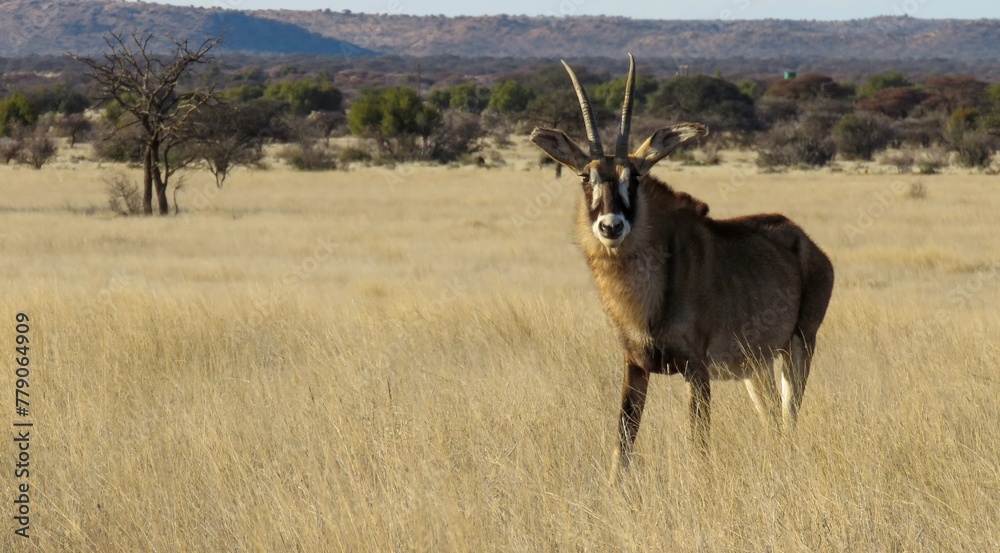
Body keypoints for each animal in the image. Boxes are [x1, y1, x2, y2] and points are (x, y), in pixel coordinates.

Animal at [530, 54, 834, 474]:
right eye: (585, 176)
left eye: (634, 177)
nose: (611, 226)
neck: (647, 295)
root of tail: (808, 244)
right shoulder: (635, 365)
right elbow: (621, 446)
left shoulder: (697, 368)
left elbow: (698, 446)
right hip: (757, 365)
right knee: (773, 418)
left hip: (799, 345)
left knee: (789, 419)